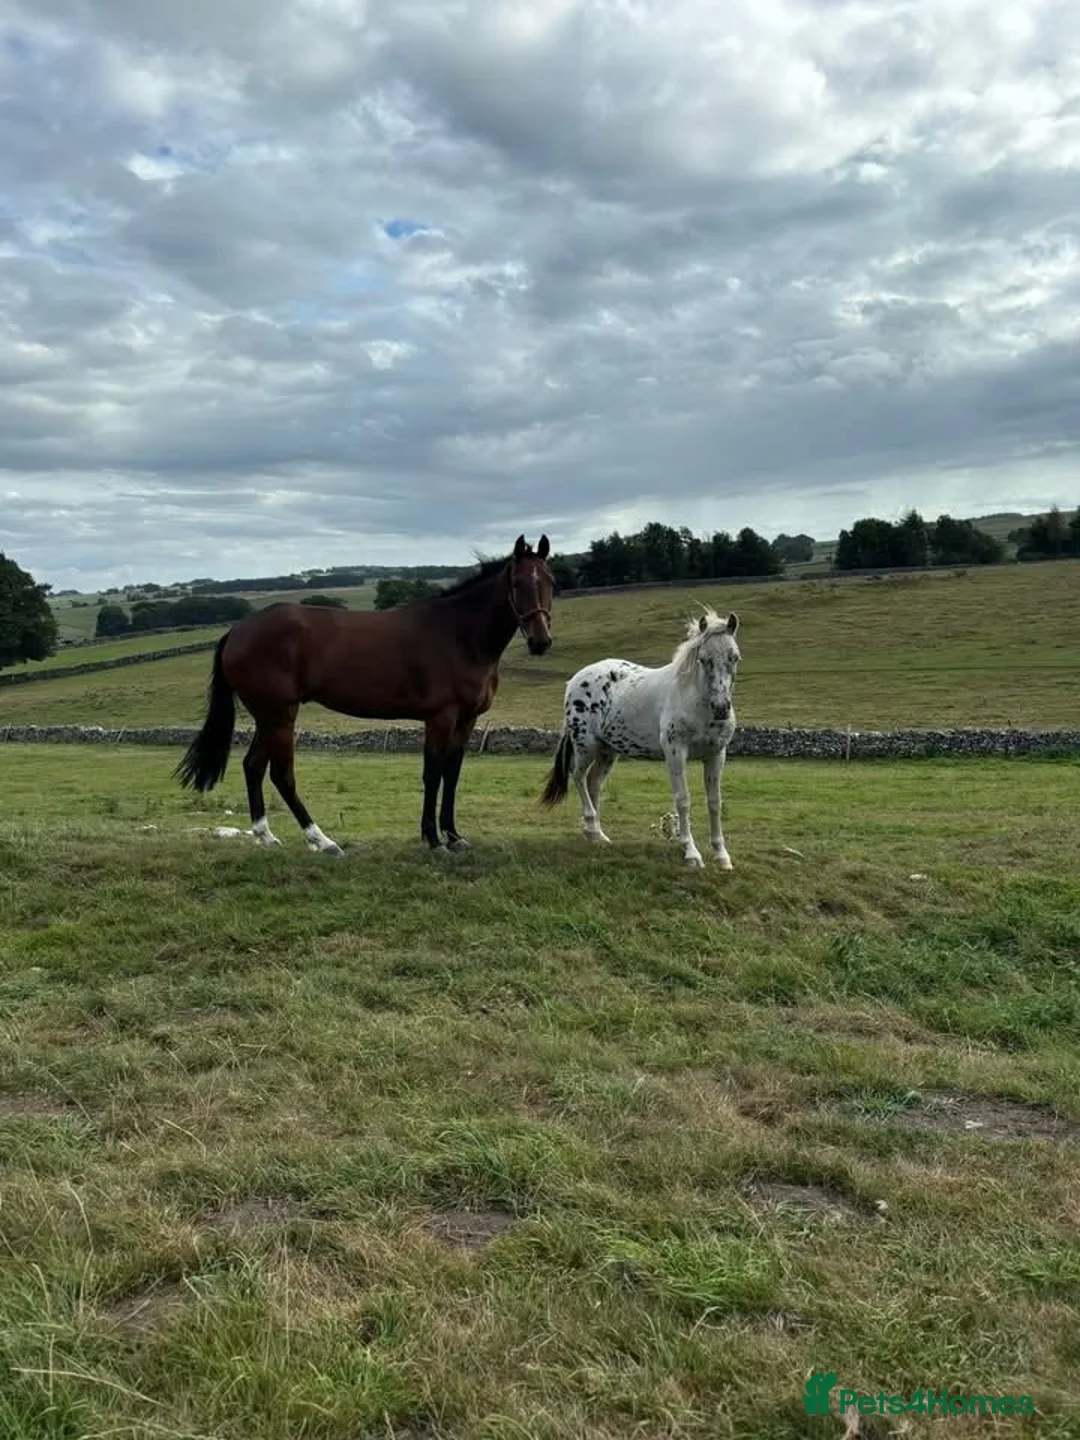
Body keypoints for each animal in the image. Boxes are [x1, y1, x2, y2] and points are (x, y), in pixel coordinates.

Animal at [175, 535, 554, 856]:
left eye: (550, 581)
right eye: (517, 584)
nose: (541, 642)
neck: (458, 634)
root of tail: (238, 631)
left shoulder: (467, 719)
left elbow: (452, 773)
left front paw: (453, 835)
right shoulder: (440, 717)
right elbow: (433, 773)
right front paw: (433, 840)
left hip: (268, 718)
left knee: (253, 766)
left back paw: (266, 836)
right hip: (280, 716)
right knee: (281, 775)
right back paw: (322, 841)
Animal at [540, 607, 740, 869]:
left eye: (734, 657)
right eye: (704, 659)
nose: (721, 708)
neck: (693, 699)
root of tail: (575, 680)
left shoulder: (716, 754)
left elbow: (715, 802)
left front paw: (721, 856)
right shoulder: (675, 752)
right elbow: (683, 800)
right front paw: (691, 853)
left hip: (607, 751)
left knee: (594, 783)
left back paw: (597, 835)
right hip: (586, 745)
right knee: (579, 776)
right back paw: (591, 828)